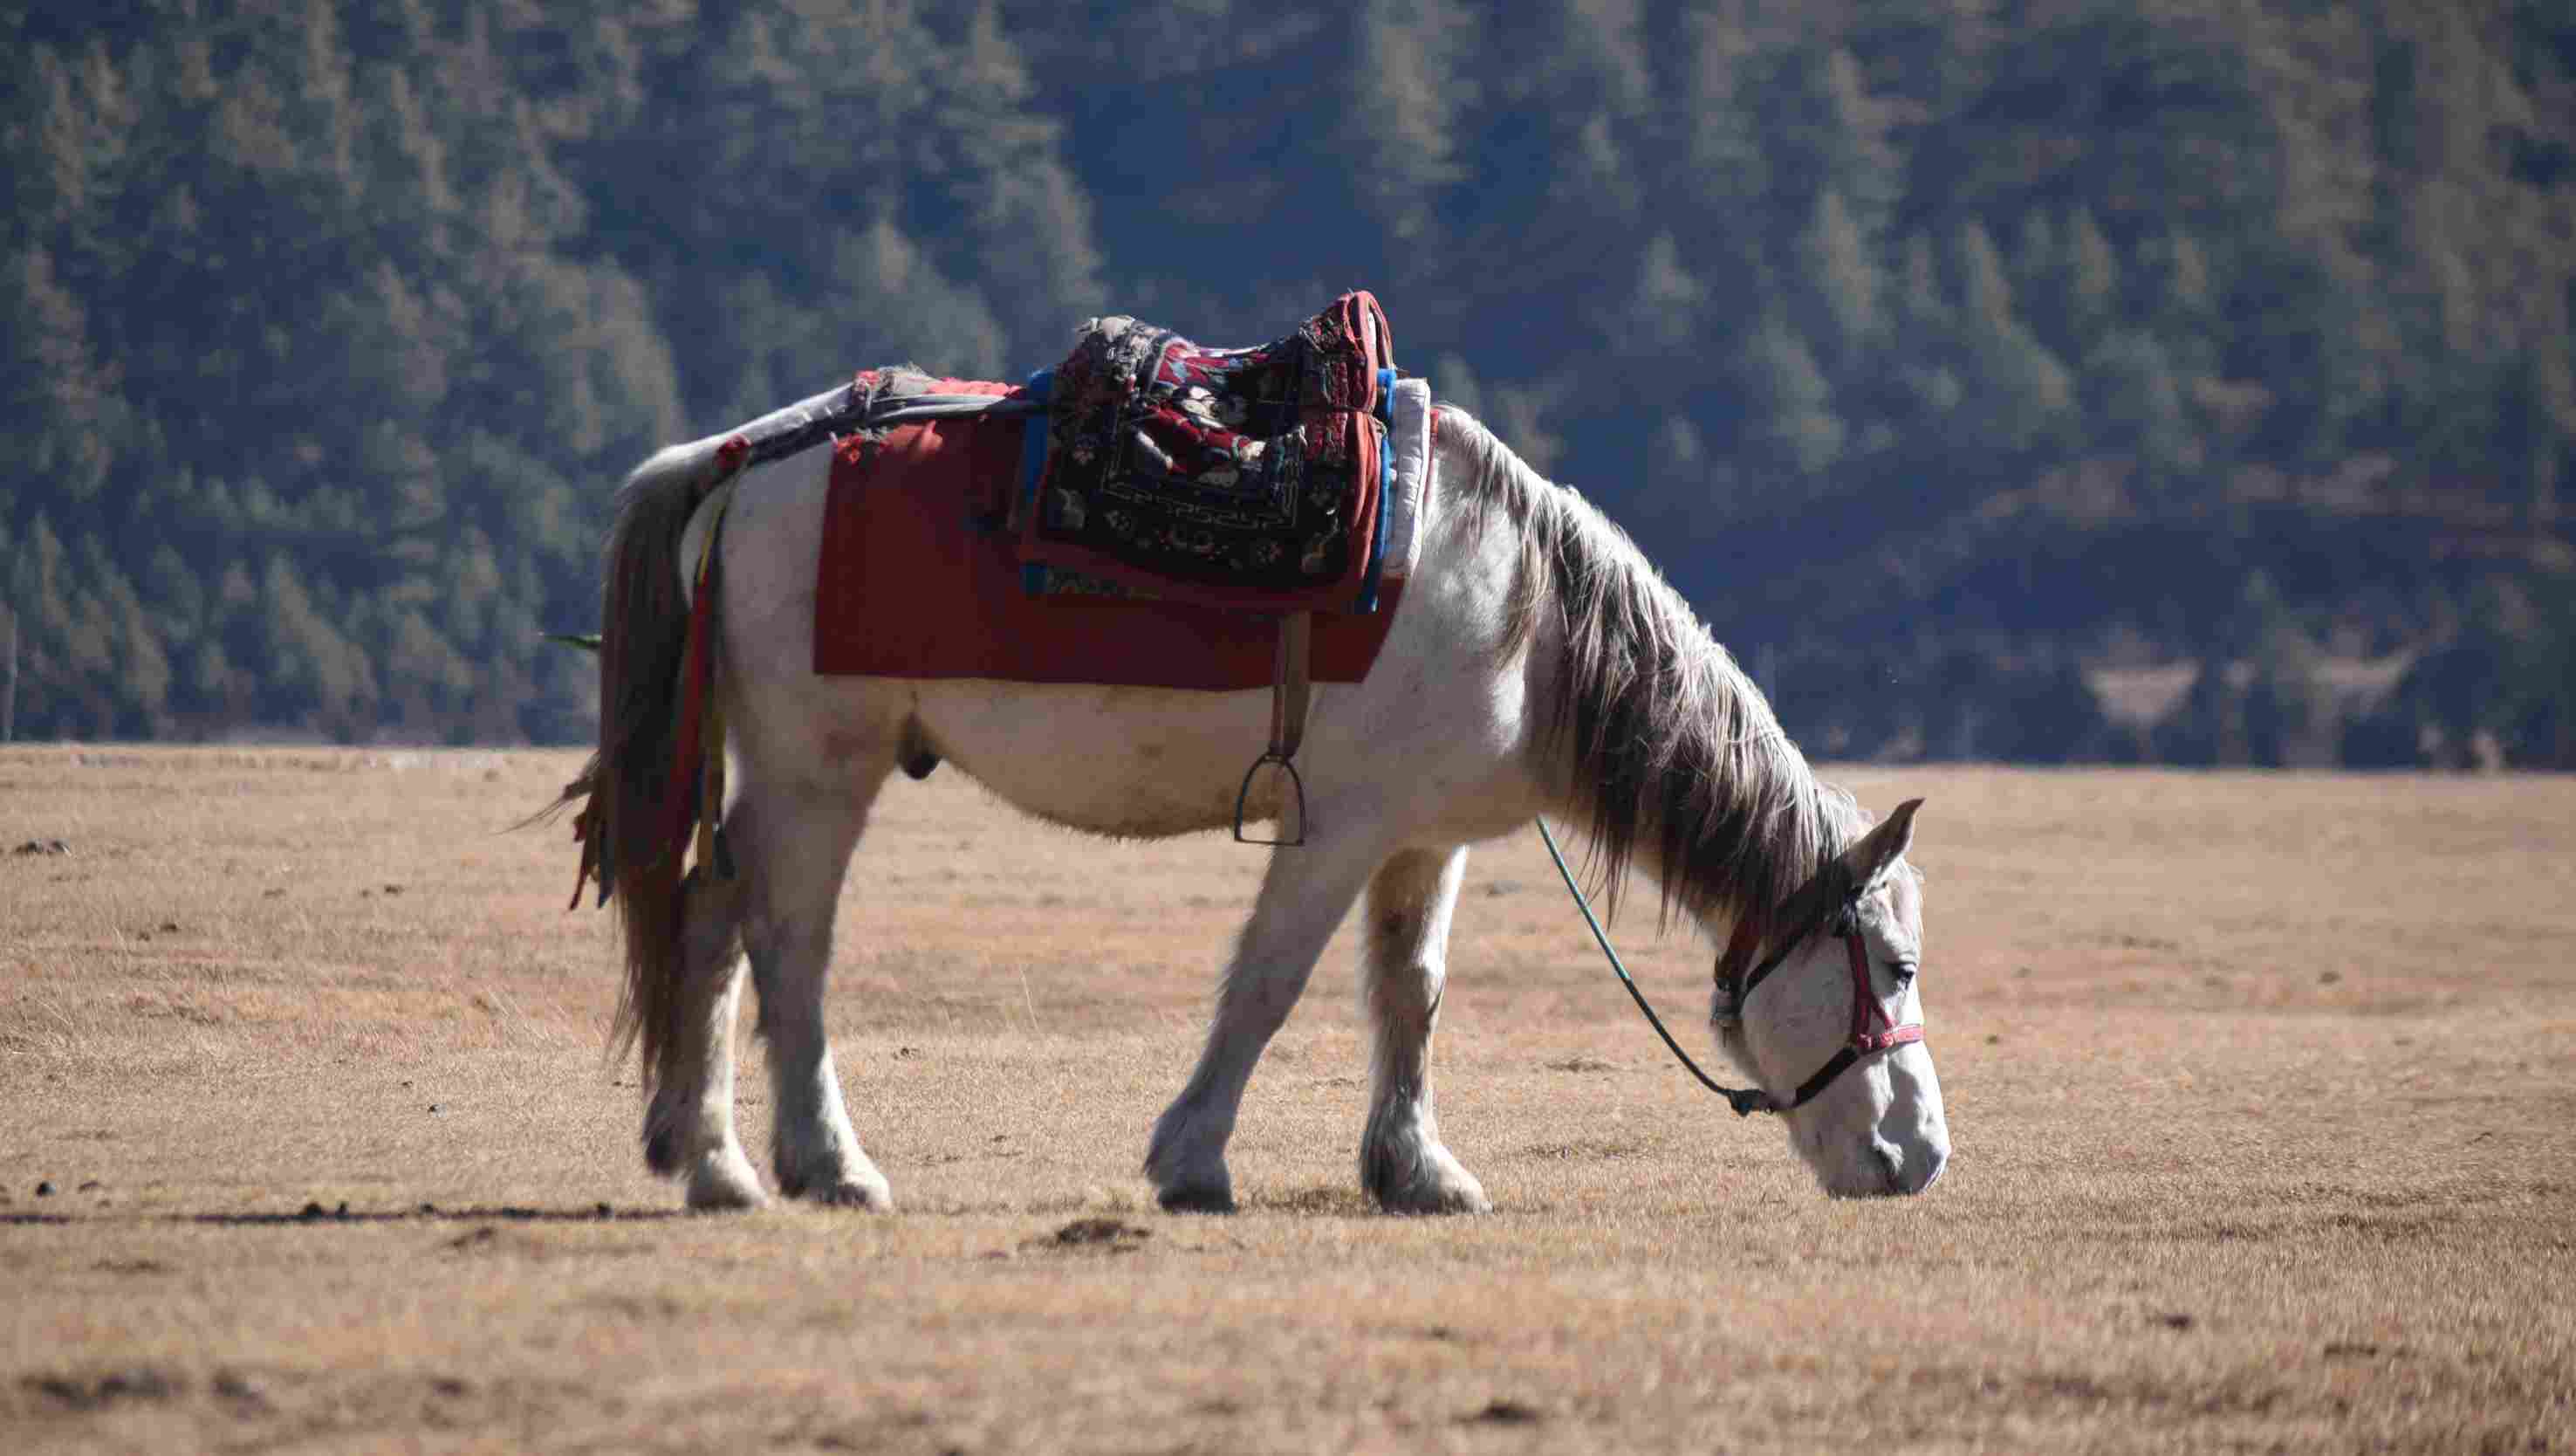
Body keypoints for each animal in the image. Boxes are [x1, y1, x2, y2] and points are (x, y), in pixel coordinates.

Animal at [557, 397, 1950, 1213]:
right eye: (1892, 965)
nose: (1922, 1158)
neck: (1530, 618)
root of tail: (740, 464)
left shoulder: (1420, 842)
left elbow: (1411, 994)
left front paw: (1416, 1172)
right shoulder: (1335, 833)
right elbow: (1269, 988)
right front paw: (1192, 1162)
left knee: (706, 919)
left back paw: (708, 1160)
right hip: (817, 769)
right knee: (785, 942)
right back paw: (825, 1165)